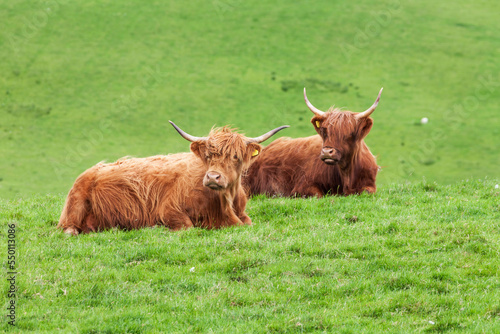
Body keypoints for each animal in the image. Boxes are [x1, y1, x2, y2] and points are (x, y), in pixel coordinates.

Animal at [57, 120, 290, 235]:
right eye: (208, 155)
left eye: (235, 156)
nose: (213, 177)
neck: (224, 204)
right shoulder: (168, 209)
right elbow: (186, 227)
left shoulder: (242, 216)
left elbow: (248, 223)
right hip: (74, 208)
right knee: (69, 230)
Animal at [246, 87, 382, 197]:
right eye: (325, 131)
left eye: (349, 134)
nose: (327, 152)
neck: (347, 175)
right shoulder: (303, 185)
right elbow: (317, 195)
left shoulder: (370, 184)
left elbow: (367, 191)